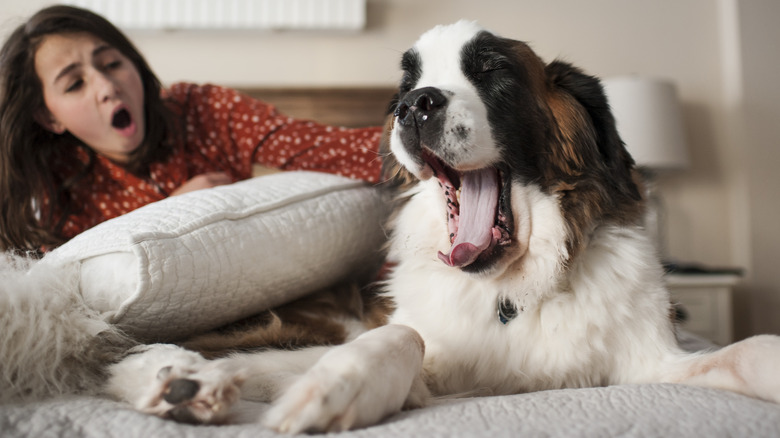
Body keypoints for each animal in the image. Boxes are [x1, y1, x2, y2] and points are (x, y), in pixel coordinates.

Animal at [105, 19, 780, 432]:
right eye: (407, 83)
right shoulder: (406, 345)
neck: (513, 290)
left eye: (492, 71)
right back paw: (185, 380)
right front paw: (335, 388)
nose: (414, 105)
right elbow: (402, 337)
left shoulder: (648, 362)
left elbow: (751, 349)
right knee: (155, 350)